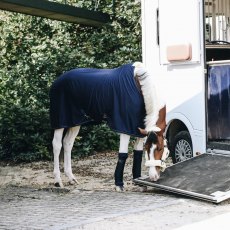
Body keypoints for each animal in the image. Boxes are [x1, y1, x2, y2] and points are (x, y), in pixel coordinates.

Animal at [49, 62, 169, 191]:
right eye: (148, 148)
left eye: (160, 148)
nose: (153, 177)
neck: (138, 85)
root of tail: (57, 81)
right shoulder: (125, 128)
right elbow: (123, 154)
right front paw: (119, 184)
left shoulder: (139, 131)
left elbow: (137, 154)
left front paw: (139, 181)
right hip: (61, 121)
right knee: (57, 145)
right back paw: (58, 181)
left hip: (75, 122)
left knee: (68, 143)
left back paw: (71, 178)